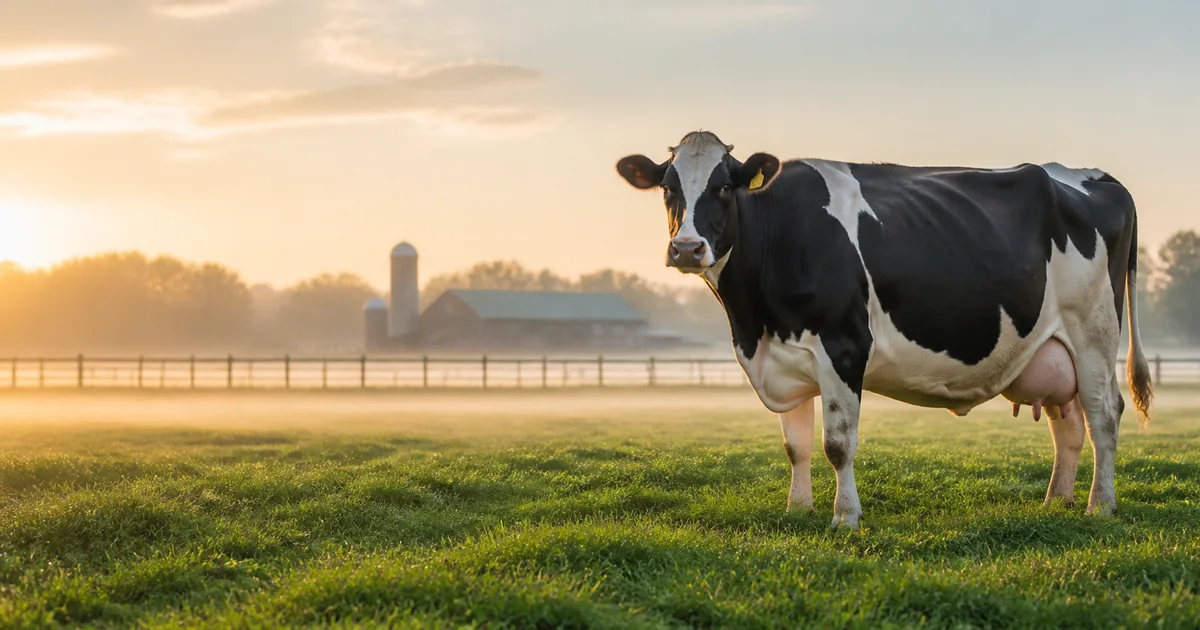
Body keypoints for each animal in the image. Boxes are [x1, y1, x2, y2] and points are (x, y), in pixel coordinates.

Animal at [615, 130, 1153, 530]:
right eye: (668, 188)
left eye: (725, 187)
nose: (687, 248)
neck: (755, 321)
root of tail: (1099, 177)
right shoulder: (787, 355)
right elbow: (796, 445)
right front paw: (798, 509)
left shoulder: (843, 346)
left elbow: (836, 443)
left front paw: (845, 518)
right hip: (1053, 348)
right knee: (1069, 424)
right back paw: (1057, 502)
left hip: (1094, 334)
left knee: (1104, 415)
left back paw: (1100, 505)